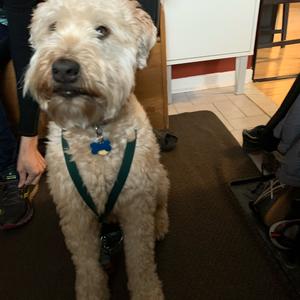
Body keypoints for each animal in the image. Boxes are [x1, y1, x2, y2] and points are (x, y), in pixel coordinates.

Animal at [24, 0, 169, 300]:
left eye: (102, 30)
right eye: (53, 26)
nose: (63, 68)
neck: (94, 131)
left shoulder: (137, 206)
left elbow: (140, 259)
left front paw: (147, 291)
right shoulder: (75, 213)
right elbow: (88, 265)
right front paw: (92, 291)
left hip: (158, 180)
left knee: (162, 205)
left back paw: (160, 224)